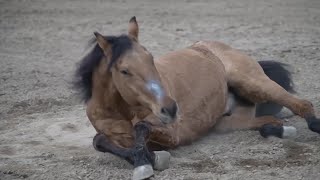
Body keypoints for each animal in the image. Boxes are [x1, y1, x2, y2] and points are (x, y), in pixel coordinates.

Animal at [73, 16, 320, 179]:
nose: (171, 109)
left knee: (302, 105)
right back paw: (281, 130)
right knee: (268, 122)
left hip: (254, 83)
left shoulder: (173, 133)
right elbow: (100, 141)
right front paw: (144, 159)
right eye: (124, 71)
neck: (119, 111)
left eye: (151, 58)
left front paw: (148, 161)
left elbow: (140, 127)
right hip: (229, 122)